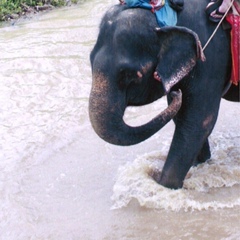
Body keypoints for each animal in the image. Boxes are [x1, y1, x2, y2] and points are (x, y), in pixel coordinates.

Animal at [89, 1, 239, 189]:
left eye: (130, 75)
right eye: (90, 61)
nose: (175, 93)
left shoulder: (210, 58)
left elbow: (199, 122)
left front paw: (165, 187)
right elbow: (183, 119)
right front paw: (201, 164)